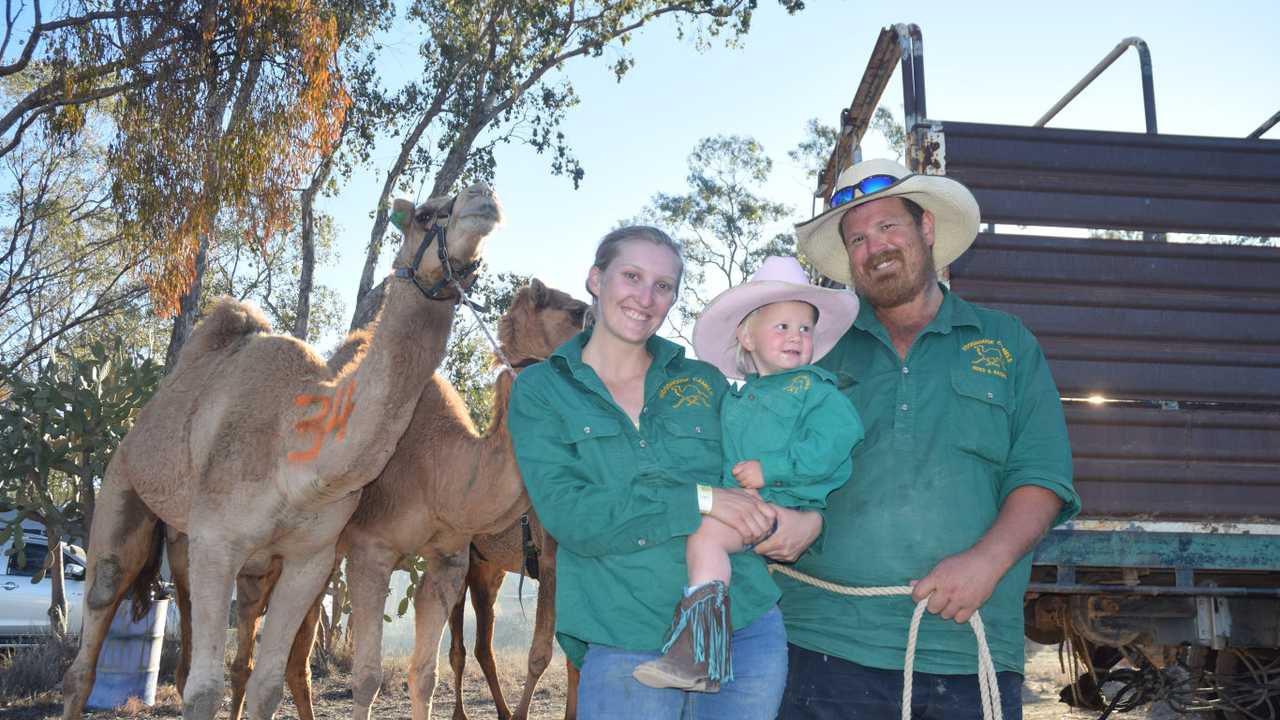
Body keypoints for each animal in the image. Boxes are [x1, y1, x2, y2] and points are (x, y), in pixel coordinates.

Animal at [61, 183, 499, 717]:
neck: (297, 456)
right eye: (425, 214)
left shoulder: (310, 558)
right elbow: (204, 691)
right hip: (125, 487)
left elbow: (267, 684)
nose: (484, 197)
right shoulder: (218, 541)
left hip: (186, 544)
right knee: (96, 621)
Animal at [213, 279, 586, 717]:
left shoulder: (450, 557)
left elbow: (427, 673)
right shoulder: (373, 550)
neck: (437, 467)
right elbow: (370, 677)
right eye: (578, 312)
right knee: (248, 649)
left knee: (297, 660)